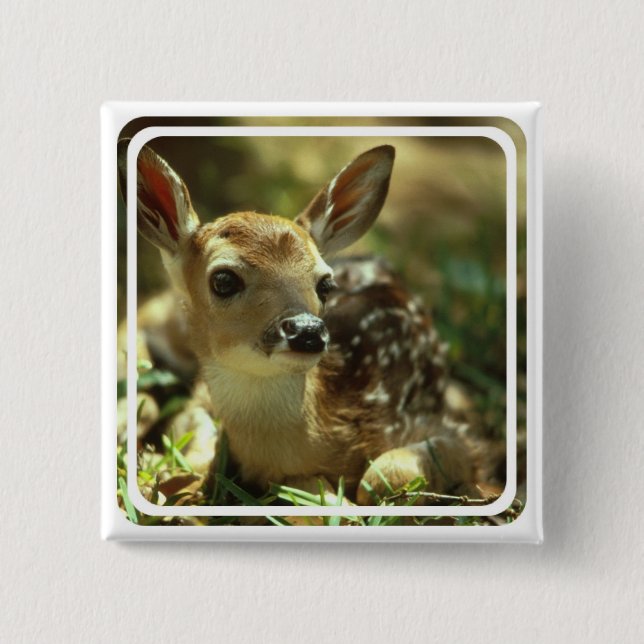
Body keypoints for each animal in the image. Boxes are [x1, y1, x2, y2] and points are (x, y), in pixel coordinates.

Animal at [117, 141, 478, 505]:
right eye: (223, 279)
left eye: (325, 284)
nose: (307, 330)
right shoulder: (200, 398)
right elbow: (194, 447)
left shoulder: (449, 429)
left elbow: (379, 478)